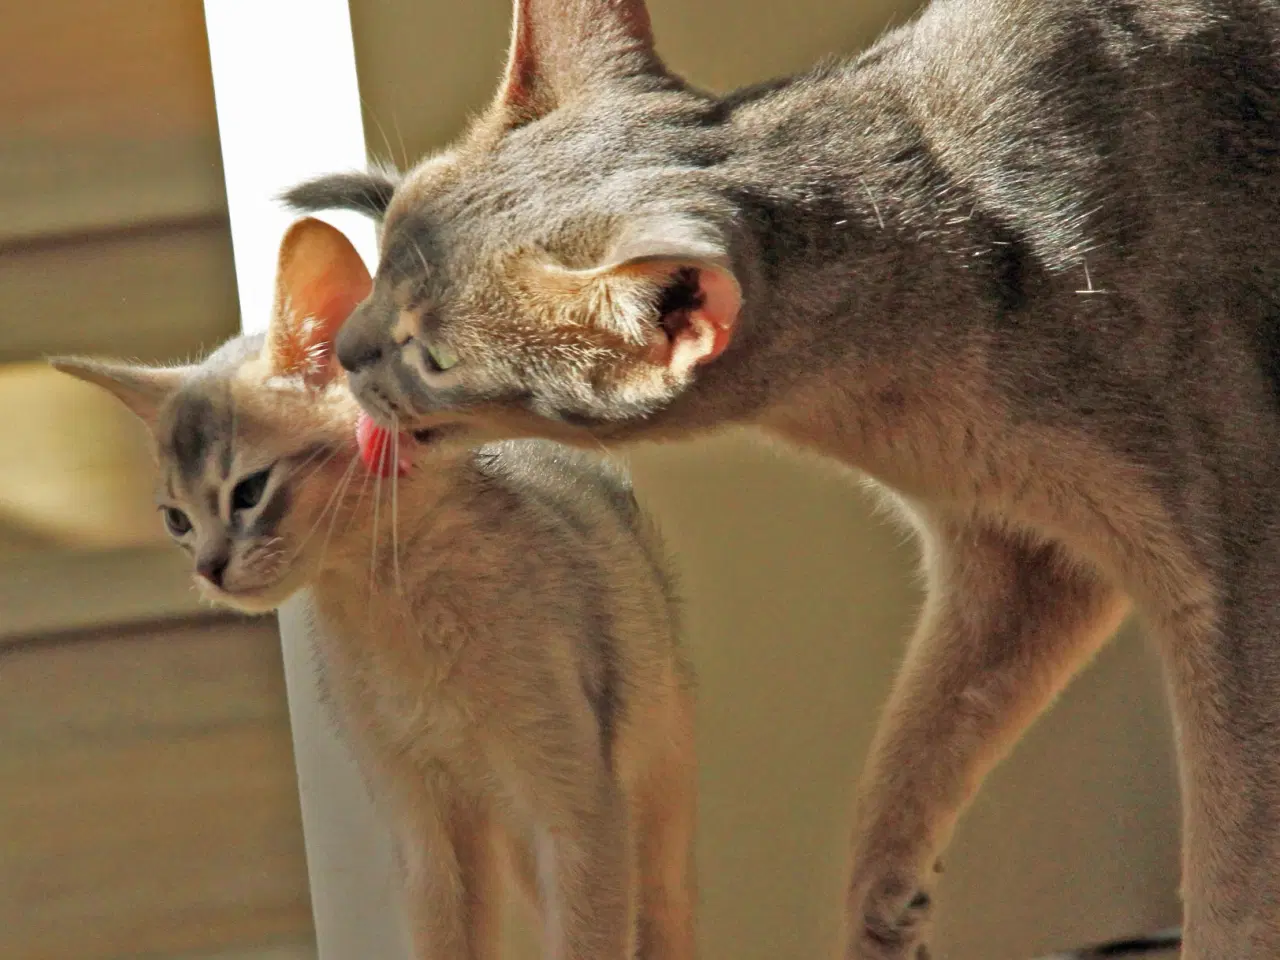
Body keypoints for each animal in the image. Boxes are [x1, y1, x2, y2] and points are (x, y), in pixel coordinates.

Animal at [52, 216, 701, 960]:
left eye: (248, 491)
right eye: (177, 520)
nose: (209, 569)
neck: (395, 607)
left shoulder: (579, 813)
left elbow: (587, 941)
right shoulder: (425, 827)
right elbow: (446, 940)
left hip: (650, 801)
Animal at [288, 0, 1280, 957]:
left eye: (435, 355)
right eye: (383, 260)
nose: (347, 350)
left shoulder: (1234, 579)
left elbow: (1233, 873)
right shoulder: (1021, 559)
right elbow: (917, 743)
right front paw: (884, 911)